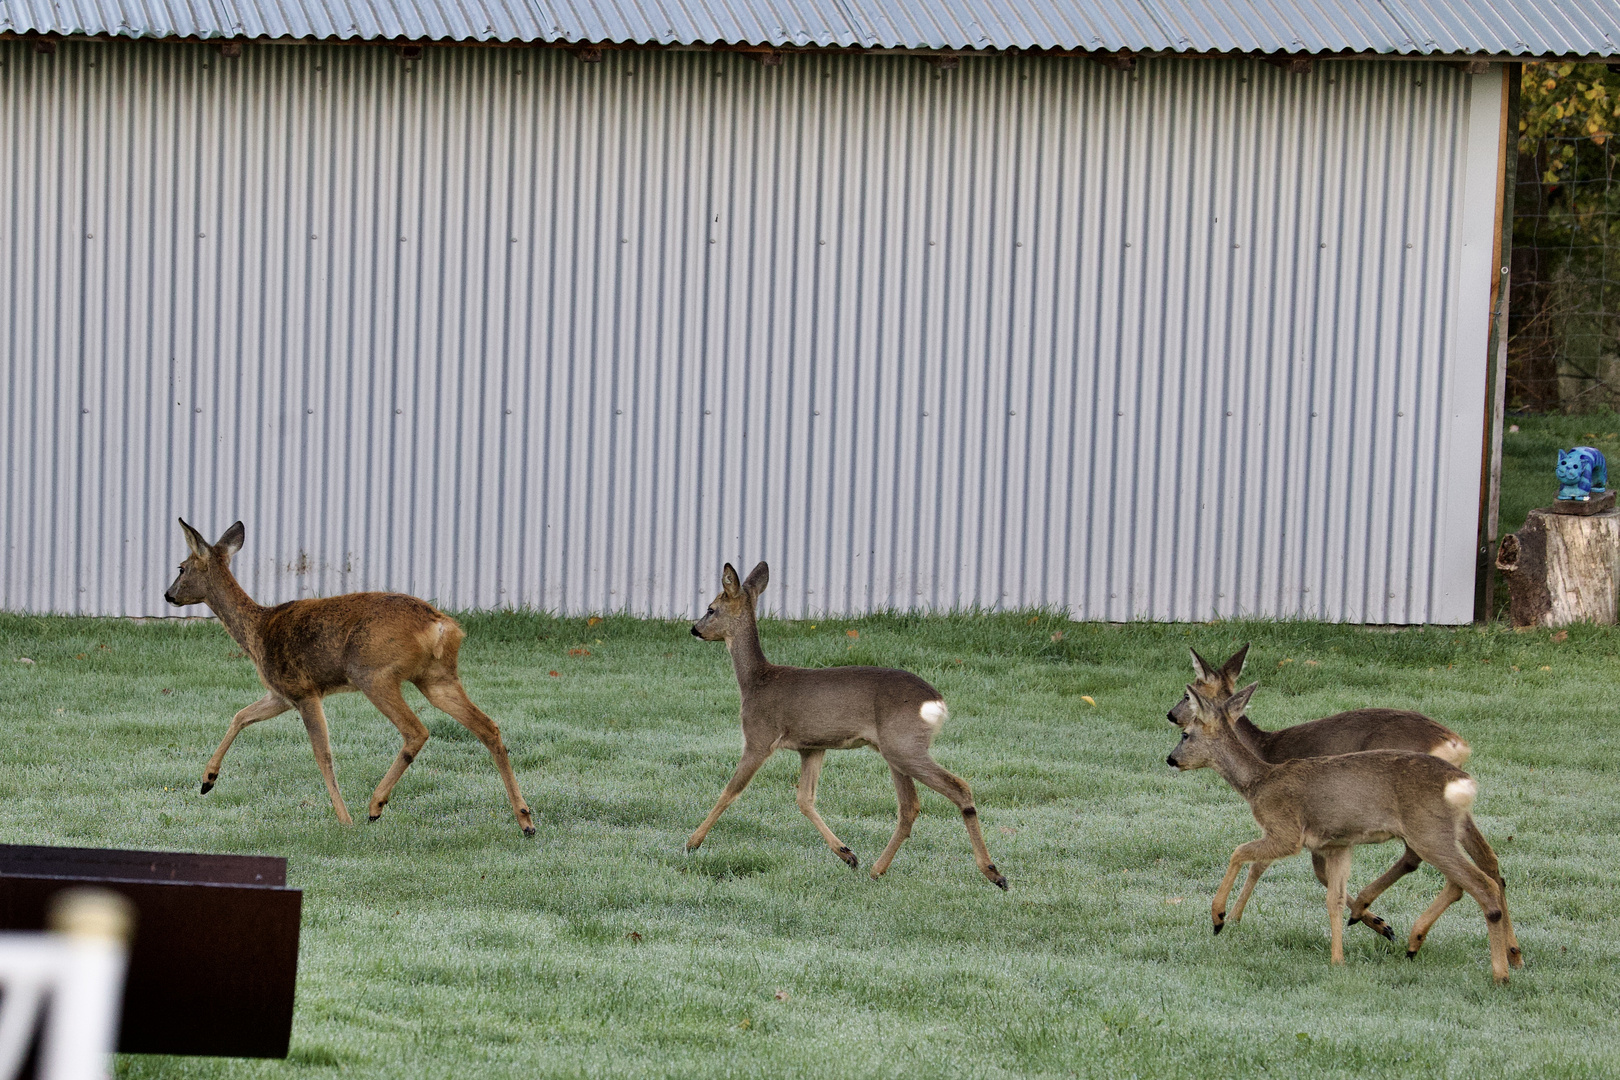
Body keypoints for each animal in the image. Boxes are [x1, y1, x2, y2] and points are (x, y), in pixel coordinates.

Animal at [163, 518, 534, 835]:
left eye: (181, 567)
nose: (168, 594)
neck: (257, 631)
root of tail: (443, 627)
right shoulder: (281, 693)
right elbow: (241, 716)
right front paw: (207, 780)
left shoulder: (302, 690)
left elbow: (323, 754)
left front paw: (344, 818)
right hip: (437, 678)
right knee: (488, 727)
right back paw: (525, 819)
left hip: (374, 673)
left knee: (416, 730)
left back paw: (375, 806)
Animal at [686, 563, 1010, 893]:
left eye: (711, 609)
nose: (694, 629)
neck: (755, 681)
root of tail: (936, 701)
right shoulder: (812, 746)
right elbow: (805, 799)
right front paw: (847, 854)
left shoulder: (759, 736)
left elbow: (731, 790)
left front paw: (692, 842)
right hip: (895, 749)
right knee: (910, 806)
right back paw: (878, 869)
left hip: (903, 745)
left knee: (959, 788)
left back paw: (994, 872)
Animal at [1166, 647, 1490, 939]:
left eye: (1188, 693)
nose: (1170, 714)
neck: (1262, 752)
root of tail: (1456, 744)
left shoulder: (1297, 820)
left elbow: (1267, 865)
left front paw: (1231, 917)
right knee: (1485, 857)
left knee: (1420, 857)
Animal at [1166, 689, 1516, 984]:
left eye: (1186, 735)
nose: (1171, 759)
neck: (1258, 783)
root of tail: (1463, 781)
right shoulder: (1338, 844)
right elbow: (1333, 899)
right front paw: (1339, 959)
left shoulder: (1286, 831)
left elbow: (1238, 852)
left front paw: (1219, 917)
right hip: (1442, 832)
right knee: (1475, 874)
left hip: (1428, 833)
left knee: (1481, 884)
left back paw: (1499, 974)